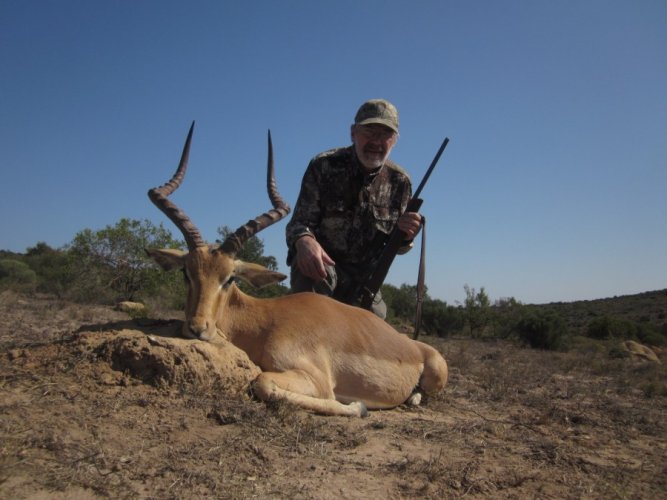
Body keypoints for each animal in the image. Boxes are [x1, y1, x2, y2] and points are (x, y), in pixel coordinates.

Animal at [146, 123, 448, 417]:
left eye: (229, 278)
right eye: (186, 273)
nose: (197, 328)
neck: (263, 320)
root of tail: (413, 346)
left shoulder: (317, 380)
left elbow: (263, 382)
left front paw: (358, 407)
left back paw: (411, 398)